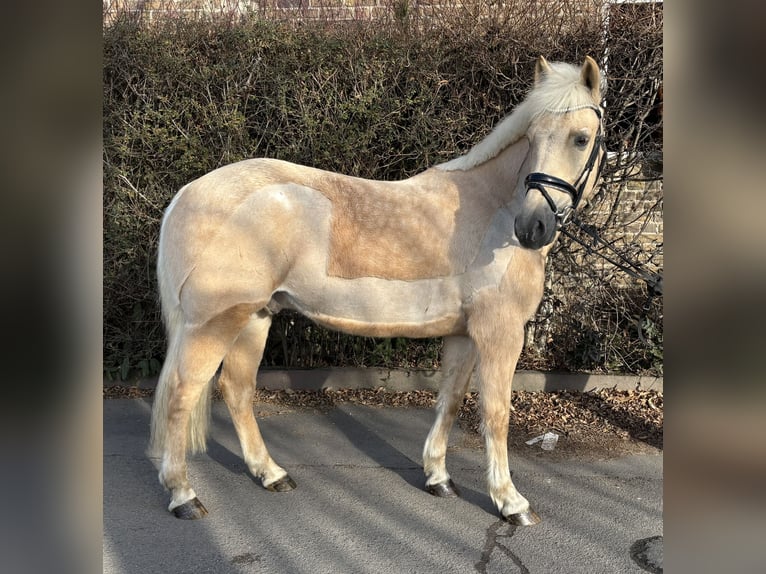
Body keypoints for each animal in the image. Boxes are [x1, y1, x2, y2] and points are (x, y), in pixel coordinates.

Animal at [149, 55, 606, 525]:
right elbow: (495, 414)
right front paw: (511, 502)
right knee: (182, 394)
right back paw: (183, 495)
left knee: (236, 389)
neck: (491, 210)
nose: (533, 226)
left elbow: (451, 399)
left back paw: (271, 474)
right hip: (214, 323)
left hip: (255, 317)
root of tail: (186, 194)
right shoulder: (500, 333)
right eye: (533, 138)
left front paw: (439, 478)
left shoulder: (464, 334)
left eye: (581, 138)